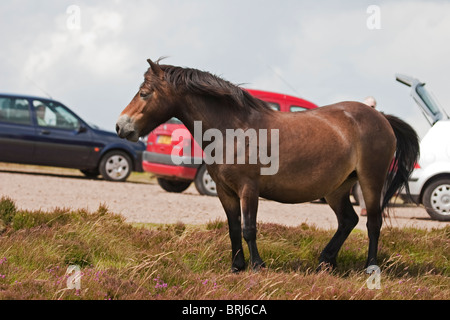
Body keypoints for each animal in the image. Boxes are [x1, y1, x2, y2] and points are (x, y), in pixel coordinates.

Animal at [116, 58, 418, 272]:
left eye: (144, 93)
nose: (121, 126)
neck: (233, 130)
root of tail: (381, 117)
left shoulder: (248, 189)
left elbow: (249, 229)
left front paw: (257, 266)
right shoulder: (225, 192)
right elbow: (233, 228)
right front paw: (236, 267)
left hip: (371, 181)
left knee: (373, 222)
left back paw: (370, 267)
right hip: (337, 188)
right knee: (348, 221)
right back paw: (325, 261)